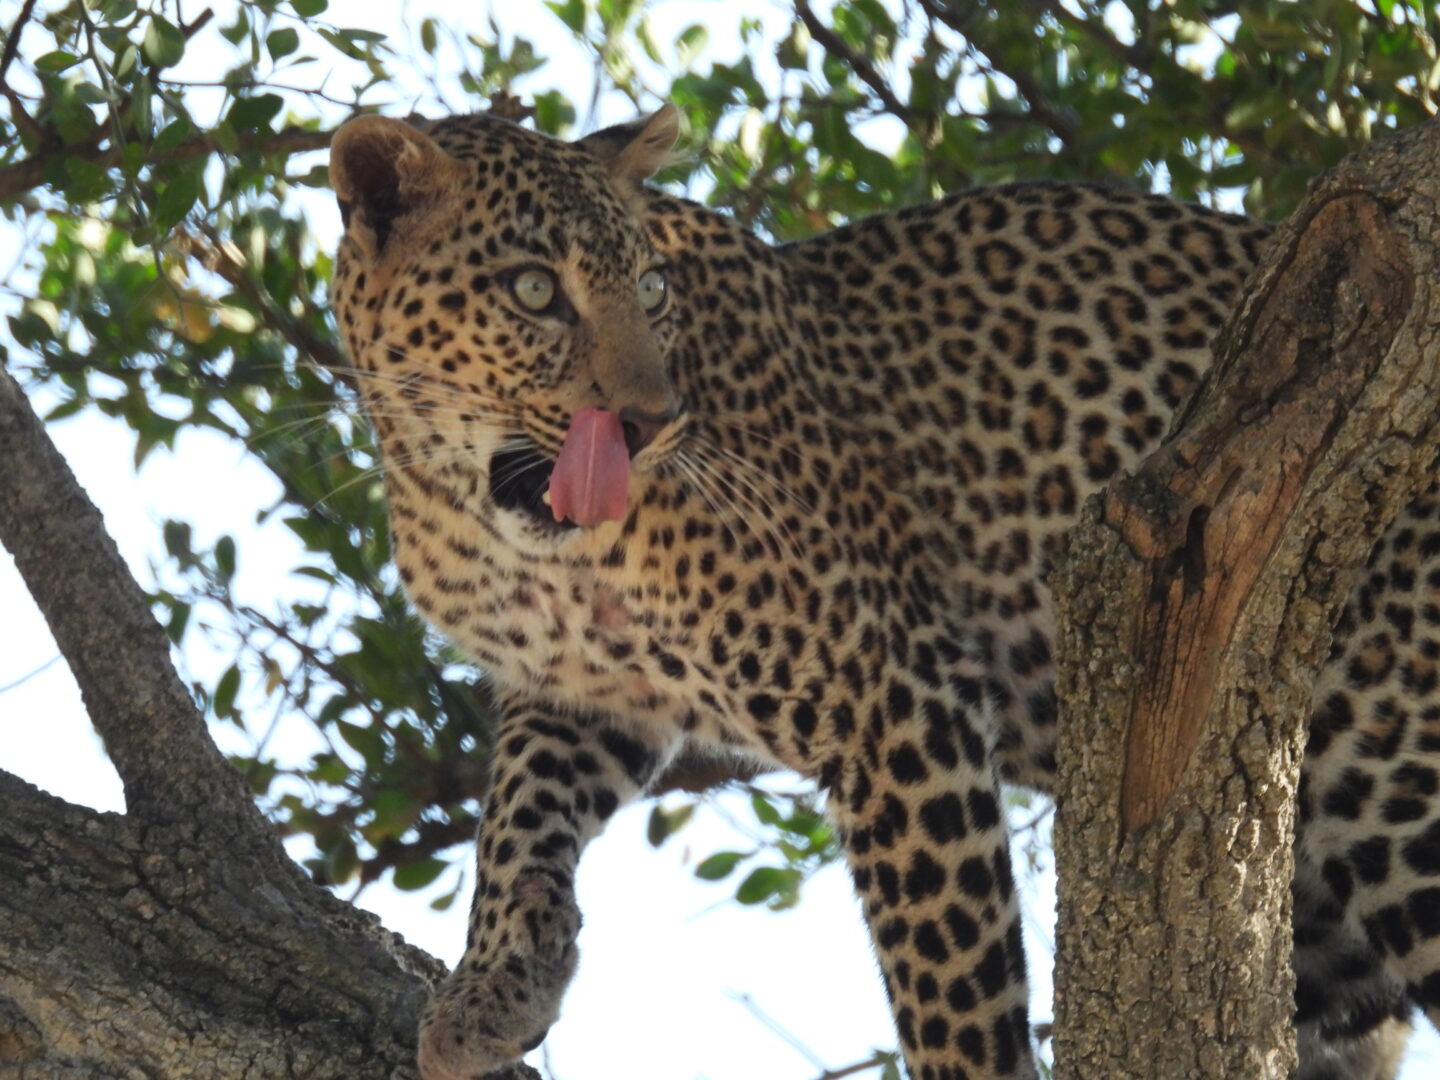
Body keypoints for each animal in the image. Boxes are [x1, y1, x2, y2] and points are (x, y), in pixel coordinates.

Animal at [327, 104, 1440, 1080]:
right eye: (531, 290)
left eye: (648, 289)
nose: (650, 422)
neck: (487, 519)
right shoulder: (590, 691)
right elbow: (516, 808)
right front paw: (497, 983)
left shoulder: (893, 699)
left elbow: (952, 978)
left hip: (1390, 772)